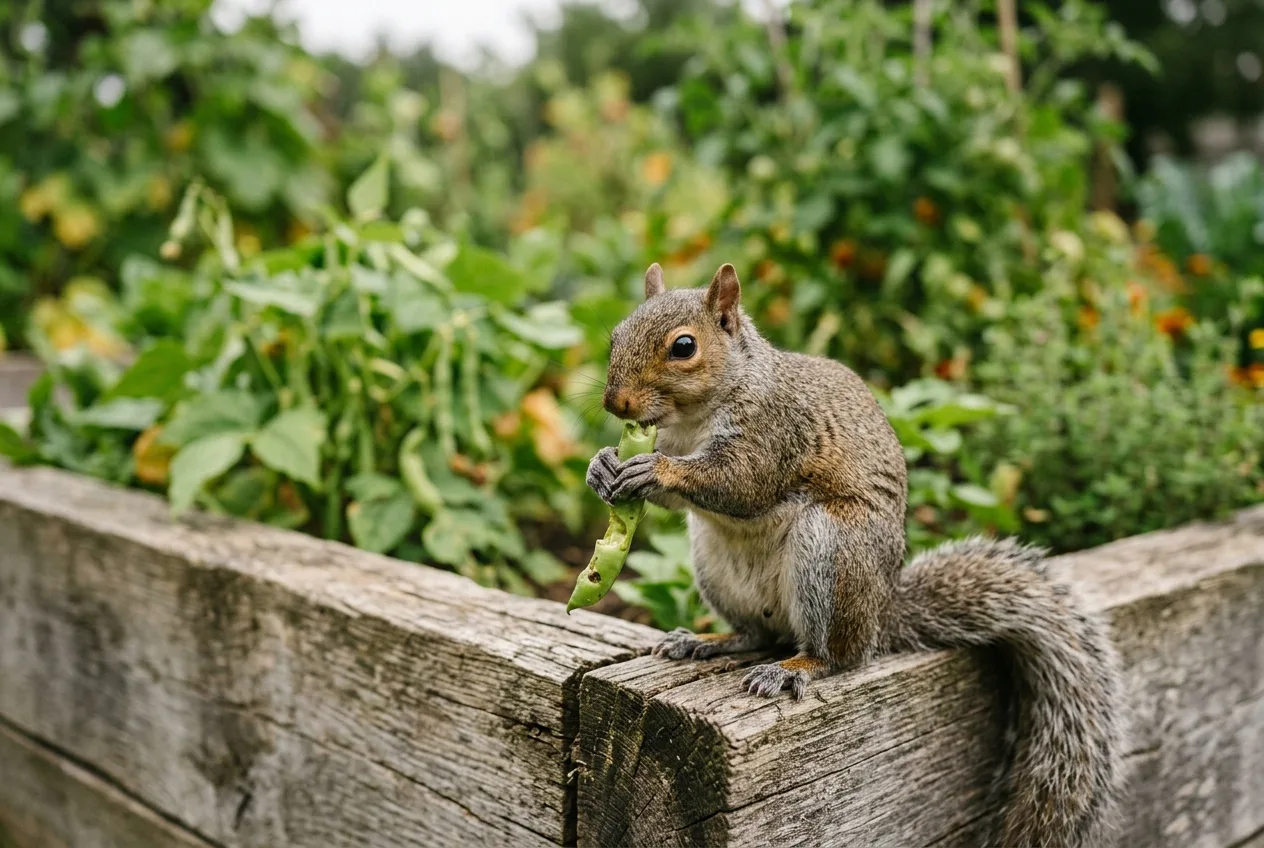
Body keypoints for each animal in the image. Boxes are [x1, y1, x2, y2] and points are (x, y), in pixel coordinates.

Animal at [585, 261, 1127, 848]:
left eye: (684, 347)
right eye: (615, 335)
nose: (616, 404)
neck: (697, 415)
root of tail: (882, 614)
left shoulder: (774, 433)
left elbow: (741, 484)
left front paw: (656, 470)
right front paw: (602, 464)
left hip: (832, 549)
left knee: (839, 656)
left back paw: (795, 667)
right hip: (714, 563)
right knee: (756, 635)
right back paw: (706, 641)